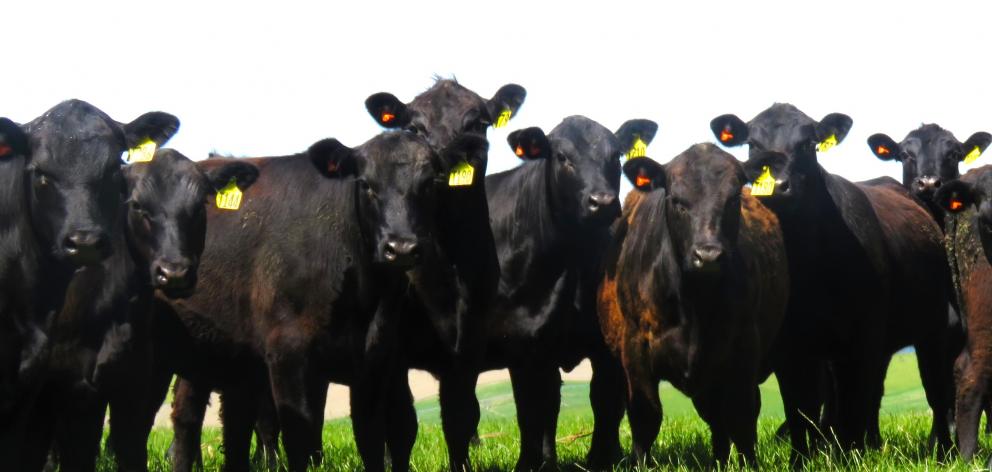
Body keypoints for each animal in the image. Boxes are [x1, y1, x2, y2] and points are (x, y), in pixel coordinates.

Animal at [482, 116, 656, 470]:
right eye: (562, 156)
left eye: (616, 156)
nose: (602, 202)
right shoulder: (525, 345)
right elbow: (531, 412)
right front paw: (530, 464)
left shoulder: (605, 345)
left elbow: (604, 402)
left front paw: (601, 459)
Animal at [708, 103, 948, 460]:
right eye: (752, 144)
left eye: (809, 144)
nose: (778, 185)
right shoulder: (790, 345)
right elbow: (798, 409)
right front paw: (802, 458)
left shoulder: (864, 335)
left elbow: (855, 402)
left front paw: (853, 453)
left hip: (931, 326)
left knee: (933, 388)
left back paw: (939, 448)